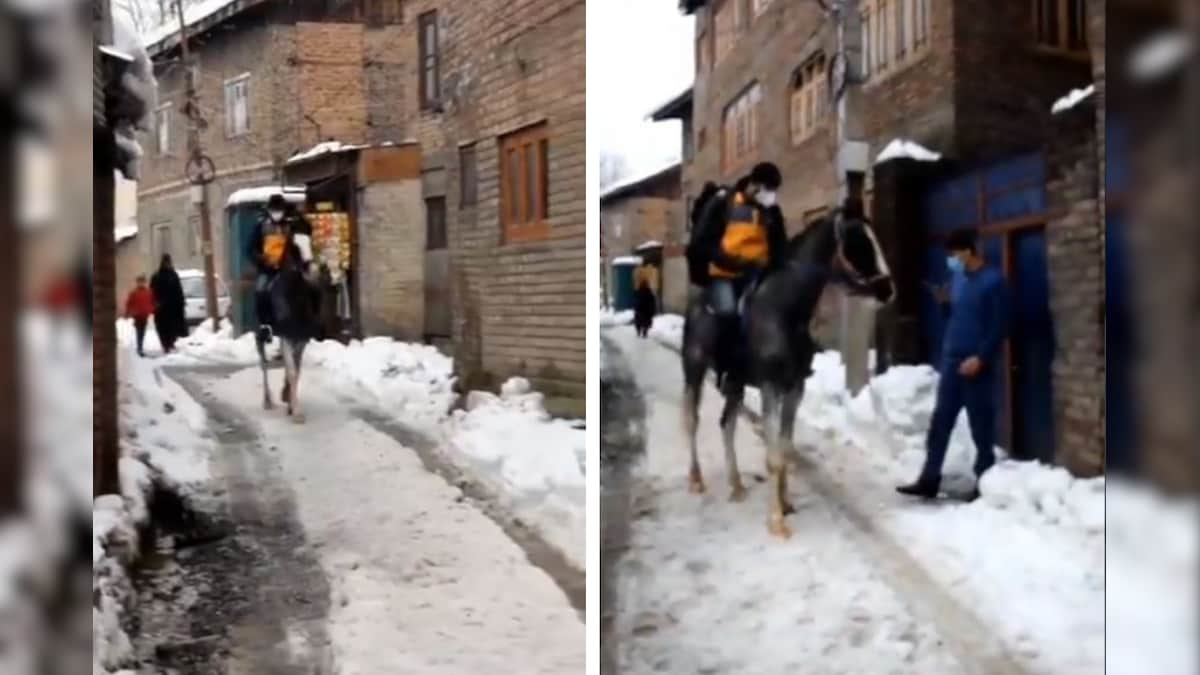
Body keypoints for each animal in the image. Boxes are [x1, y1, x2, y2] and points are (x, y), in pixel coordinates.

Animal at [255, 230, 319, 420]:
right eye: (294, 246)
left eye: (311, 242)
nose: (313, 270)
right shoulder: (287, 336)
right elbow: (291, 370)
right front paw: (296, 412)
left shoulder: (301, 338)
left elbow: (296, 370)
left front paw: (288, 400)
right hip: (260, 335)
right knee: (263, 364)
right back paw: (267, 401)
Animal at [681, 194, 897, 535]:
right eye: (857, 241)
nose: (887, 290)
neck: (784, 310)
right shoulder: (770, 387)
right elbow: (773, 456)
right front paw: (776, 521)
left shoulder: (795, 388)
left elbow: (784, 447)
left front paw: (785, 504)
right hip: (694, 369)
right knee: (693, 420)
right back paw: (696, 479)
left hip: (735, 382)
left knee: (727, 424)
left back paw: (736, 485)